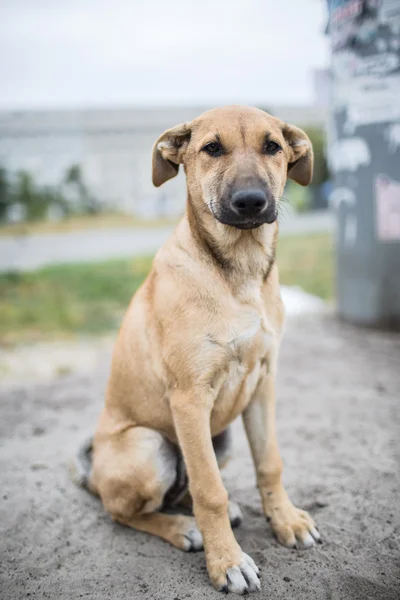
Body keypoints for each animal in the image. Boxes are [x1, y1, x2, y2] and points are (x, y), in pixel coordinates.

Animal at [74, 105, 318, 592]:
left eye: (272, 146)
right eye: (212, 148)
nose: (250, 202)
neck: (238, 272)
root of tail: (95, 479)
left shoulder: (263, 382)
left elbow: (269, 463)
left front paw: (285, 520)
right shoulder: (189, 398)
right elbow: (210, 492)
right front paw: (227, 561)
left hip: (218, 438)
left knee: (183, 488)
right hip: (150, 446)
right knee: (126, 511)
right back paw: (183, 528)